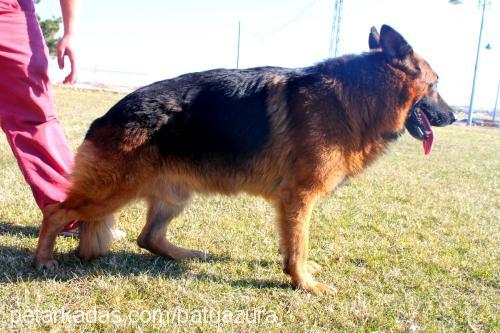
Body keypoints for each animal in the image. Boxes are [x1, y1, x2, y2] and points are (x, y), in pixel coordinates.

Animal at [35, 25, 456, 294]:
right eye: (435, 84)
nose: (453, 116)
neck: (355, 96)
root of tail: (106, 116)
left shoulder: (292, 204)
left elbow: (293, 245)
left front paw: (298, 274)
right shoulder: (298, 198)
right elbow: (299, 245)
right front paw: (304, 283)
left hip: (173, 196)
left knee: (148, 237)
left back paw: (186, 254)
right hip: (111, 193)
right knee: (56, 212)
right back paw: (43, 259)